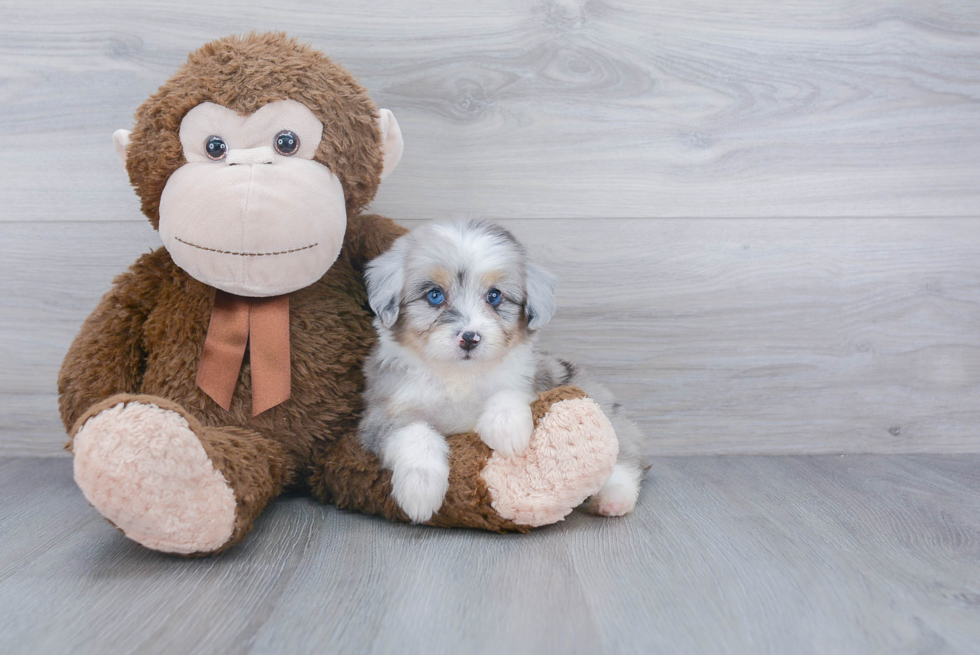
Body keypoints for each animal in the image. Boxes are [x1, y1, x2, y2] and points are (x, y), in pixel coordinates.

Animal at [356, 220, 648, 524]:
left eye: (494, 296)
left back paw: (613, 498)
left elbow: (508, 393)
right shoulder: (380, 415)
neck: (459, 375)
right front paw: (420, 492)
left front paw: (508, 431)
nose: (469, 338)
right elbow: (416, 433)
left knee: (623, 455)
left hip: (597, 402)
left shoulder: (528, 380)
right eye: (434, 296)